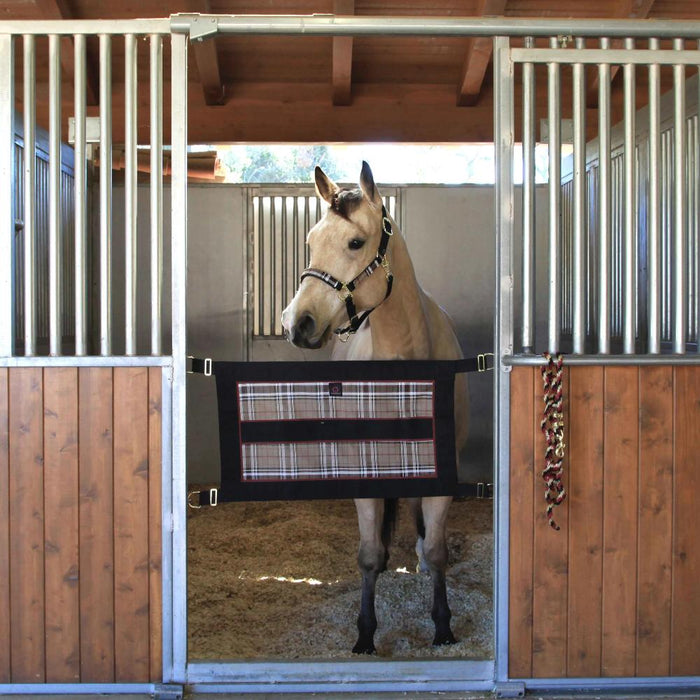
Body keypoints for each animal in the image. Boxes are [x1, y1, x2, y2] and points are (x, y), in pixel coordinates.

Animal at [280, 161, 470, 652]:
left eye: (355, 242)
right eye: (310, 241)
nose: (297, 323)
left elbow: (438, 550)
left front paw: (443, 624)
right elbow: (366, 555)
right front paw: (365, 631)